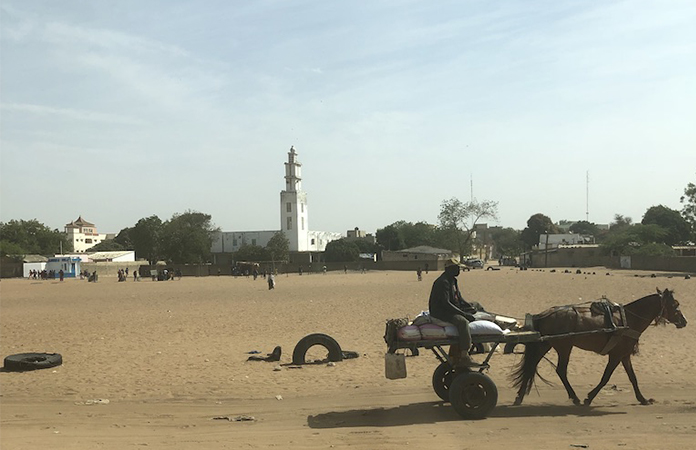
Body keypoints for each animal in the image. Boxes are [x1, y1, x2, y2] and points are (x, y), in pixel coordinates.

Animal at [512, 288, 688, 408]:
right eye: (675, 305)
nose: (684, 321)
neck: (628, 319)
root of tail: (543, 314)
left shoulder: (624, 355)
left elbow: (633, 378)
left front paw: (642, 399)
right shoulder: (616, 355)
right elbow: (605, 378)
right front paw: (589, 398)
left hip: (545, 344)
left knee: (531, 366)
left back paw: (519, 397)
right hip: (564, 347)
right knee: (561, 370)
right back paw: (575, 398)